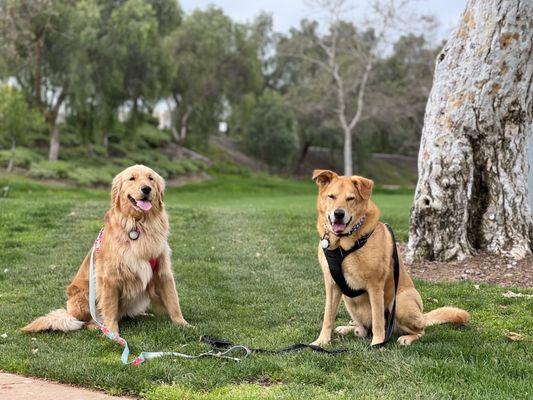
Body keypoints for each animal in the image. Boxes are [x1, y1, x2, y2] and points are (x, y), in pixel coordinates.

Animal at [23, 165, 189, 334]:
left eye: (151, 178)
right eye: (132, 178)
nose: (146, 189)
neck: (138, 225)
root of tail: (69, 313)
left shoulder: (163, 272)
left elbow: (173, 302)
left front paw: (183, 324)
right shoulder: (110, 278)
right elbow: (110, 309)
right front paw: (112, 332)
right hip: (84, 295)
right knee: (86, 322)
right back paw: (98, 326)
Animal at [310, 170, 468, 346]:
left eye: (351, 198)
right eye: (331, 196)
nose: (338, 214)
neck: (343, 245)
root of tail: (422, 316)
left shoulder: (375, 285)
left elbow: (378, 320)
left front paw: (377, 343)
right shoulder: (332, 284)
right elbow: (328, 316)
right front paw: (322, 341)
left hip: (400, 302)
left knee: (420, 330)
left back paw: (407, 338)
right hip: (349, 300)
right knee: (363, 328)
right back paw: (349, 328)